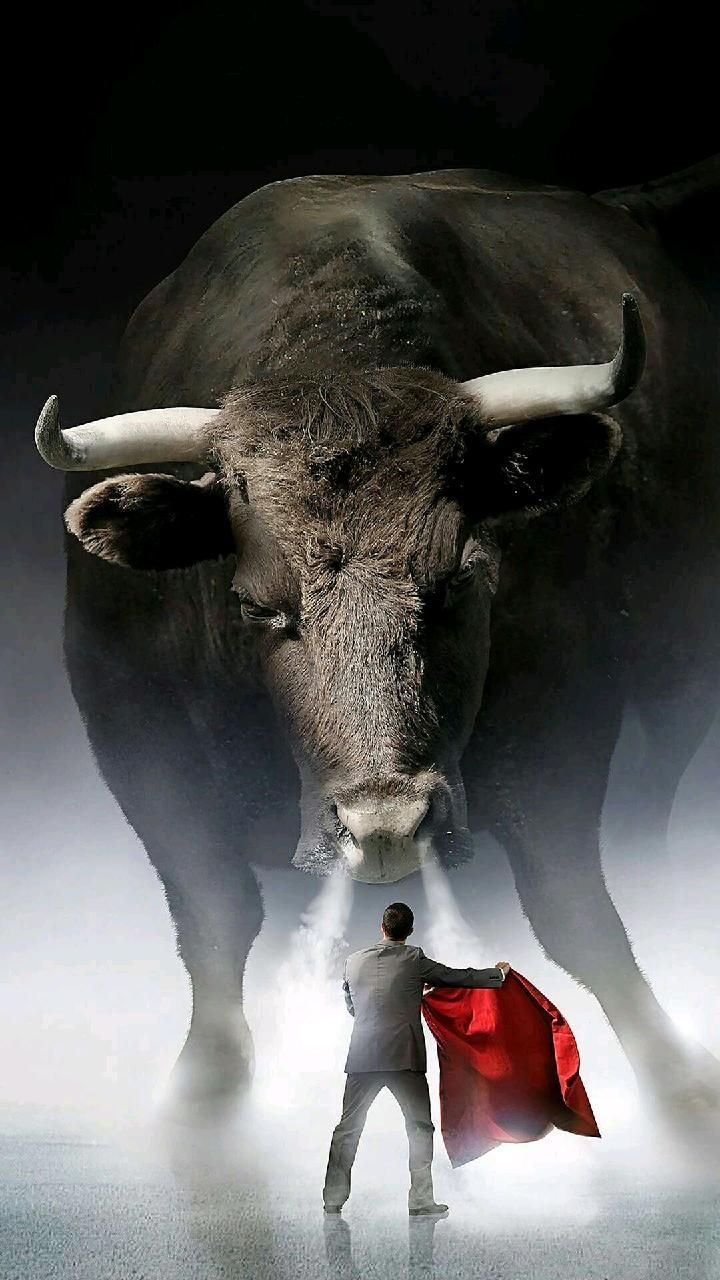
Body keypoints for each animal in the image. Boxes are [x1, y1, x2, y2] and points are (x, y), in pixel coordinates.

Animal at [35, 160, 720, 1130]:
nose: (387, 825)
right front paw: (204, 1097)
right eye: (253, 605)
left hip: (682, 666)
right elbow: (213, 914)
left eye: (464, 574)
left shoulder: (562, 713)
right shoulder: (130, 726)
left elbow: (573, 904)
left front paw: (677, 1082)